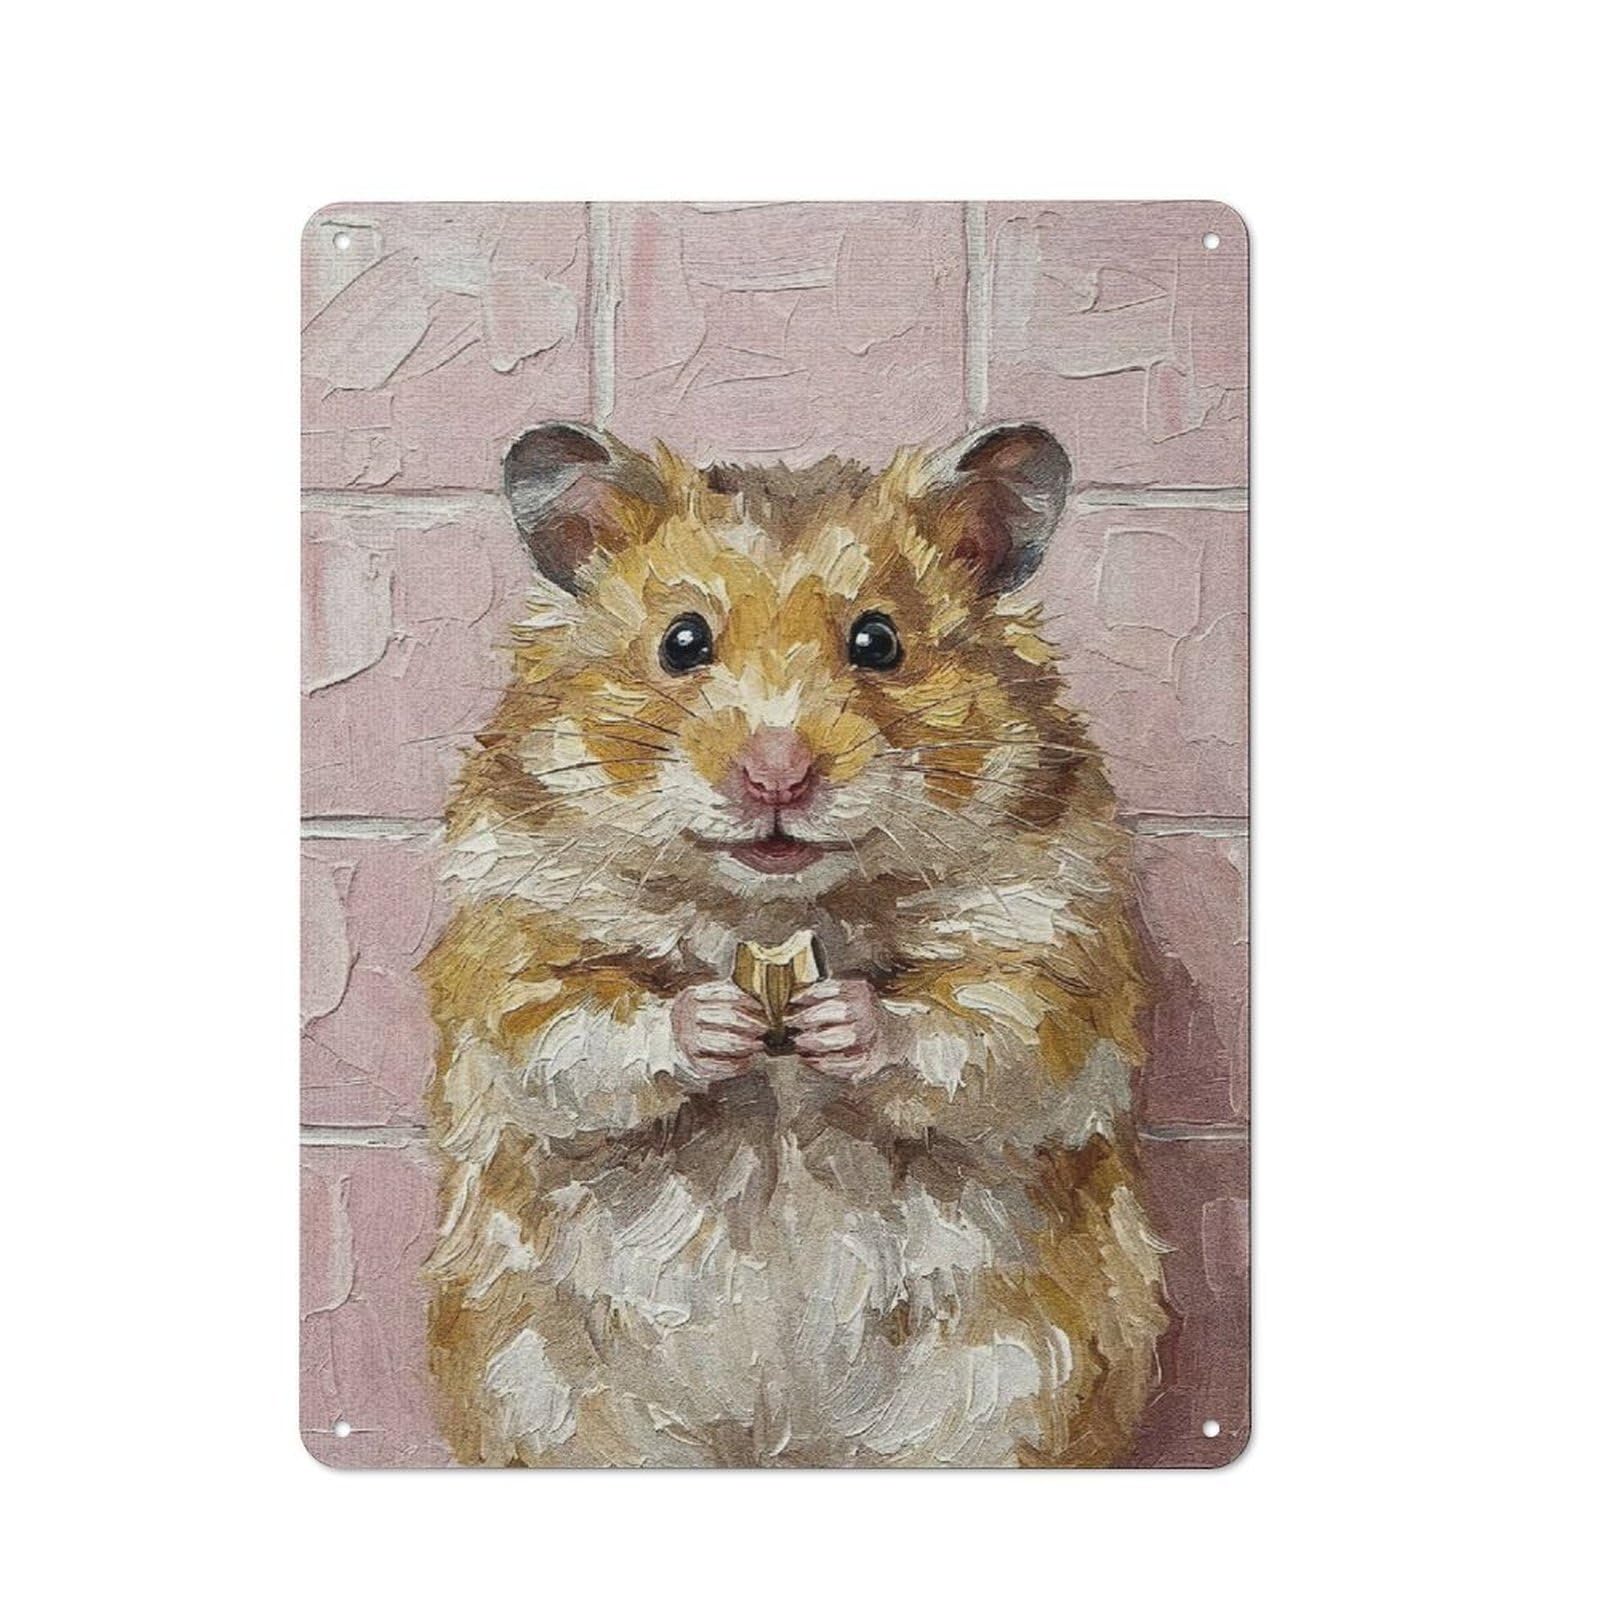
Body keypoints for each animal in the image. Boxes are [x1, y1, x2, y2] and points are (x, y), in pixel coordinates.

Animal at [420, 419, 1169, 1467]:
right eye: (682, 642)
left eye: (878, 641)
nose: (776, 774)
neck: (774, 914)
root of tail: (781, 1445)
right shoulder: (513, 952)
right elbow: (576, 1036)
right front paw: (717, 1021)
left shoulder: (1054, 950)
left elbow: (987, 1036)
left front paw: (838, 1021)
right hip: (556, 1403)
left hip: (1009, 1398)